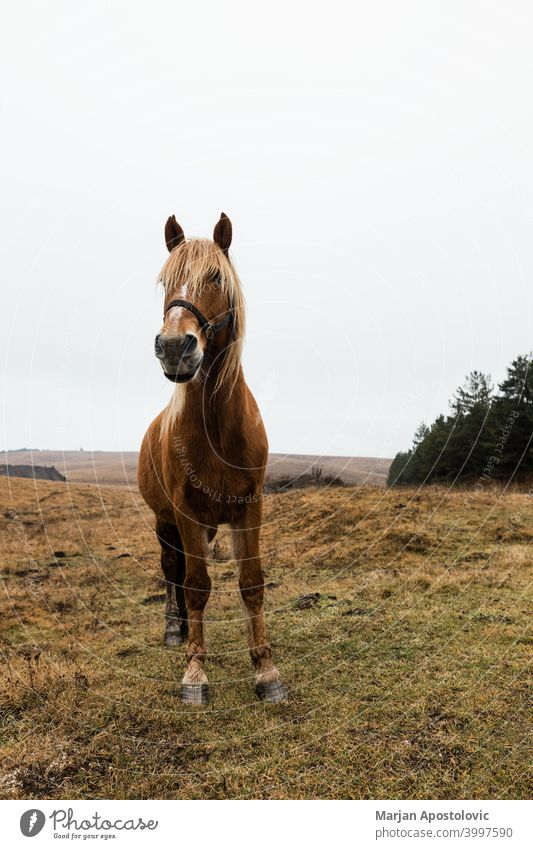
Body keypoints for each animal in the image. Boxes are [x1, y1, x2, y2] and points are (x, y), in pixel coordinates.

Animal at [137, 215, 286, 704]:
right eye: (165, 281)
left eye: (217, 278)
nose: (173, 347)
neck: (218, 428)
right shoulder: (184, 512)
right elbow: (197, 585)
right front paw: (195, 674)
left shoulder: (248, 507)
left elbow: (251, 583)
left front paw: (265, 671)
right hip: (166, 521)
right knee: (172, 571)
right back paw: (174, 630)